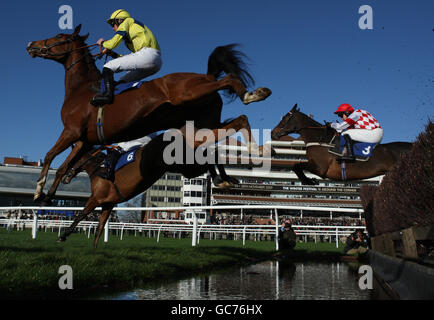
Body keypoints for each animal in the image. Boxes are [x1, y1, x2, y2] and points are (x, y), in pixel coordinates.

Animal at [26, 25, 272, 205]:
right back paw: (228, 175)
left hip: (187, 93)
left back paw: (253, 99)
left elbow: (49, 155)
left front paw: (38, 190)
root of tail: (206, 75)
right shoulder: (84, 140)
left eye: (59, 36)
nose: (31, 44)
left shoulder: (71, 131)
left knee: (230, 82)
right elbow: (63, 166)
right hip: (197, 128)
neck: (82, 90)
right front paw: (48, 195)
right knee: (228, 129)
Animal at [56, 128, 239, 248]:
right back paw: (226, 179)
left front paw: (63, 236)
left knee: (210, 157)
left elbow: (80, 215)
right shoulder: (108, 203)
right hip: (183, 165)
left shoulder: (96, 198)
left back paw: (222, 179)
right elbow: (100, 227)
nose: (64, 176)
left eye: (70, 159)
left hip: (183, 165)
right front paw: (95, 250)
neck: (98, 167)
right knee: (210, 155)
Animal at [272, 105, 414, 185]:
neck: (322, 139)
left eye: (285, 118)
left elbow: (296, 166)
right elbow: (296, 166)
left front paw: (309, 181)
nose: (273, 133)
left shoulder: (320, 168)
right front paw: (309, 180)